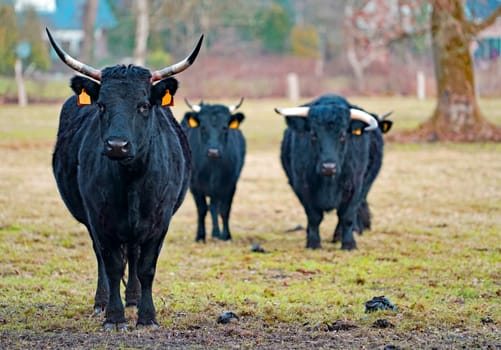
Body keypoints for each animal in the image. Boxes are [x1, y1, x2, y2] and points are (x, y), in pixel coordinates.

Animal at [47, 28, 203, 330]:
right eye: (101, 105)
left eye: (143, 106)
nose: (117, 145)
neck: (131, 181)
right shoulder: (99, 218)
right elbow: (111, 264)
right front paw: (114, 316)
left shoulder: (160, 220)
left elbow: (146, 267)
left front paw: (147, 316)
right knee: (105, 257)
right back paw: (102, 301)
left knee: (133, 253)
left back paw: (133, 297)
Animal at [181, 97, 245, 242]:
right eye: (203, 127)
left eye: (225, 127)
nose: (213, 152)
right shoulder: (195, 186)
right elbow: (202, 209)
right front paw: (200, 236)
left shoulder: (230, 185)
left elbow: (225, 210)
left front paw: (226, 235)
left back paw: (216, 233)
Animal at [274, 94, 390, 250]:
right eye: (313, 135)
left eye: (342, 135)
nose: (329, 167)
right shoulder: (303, 187)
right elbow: (314, 217)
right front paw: (313, 243)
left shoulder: (355, 187)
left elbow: (347, 216)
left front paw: (348, 244)